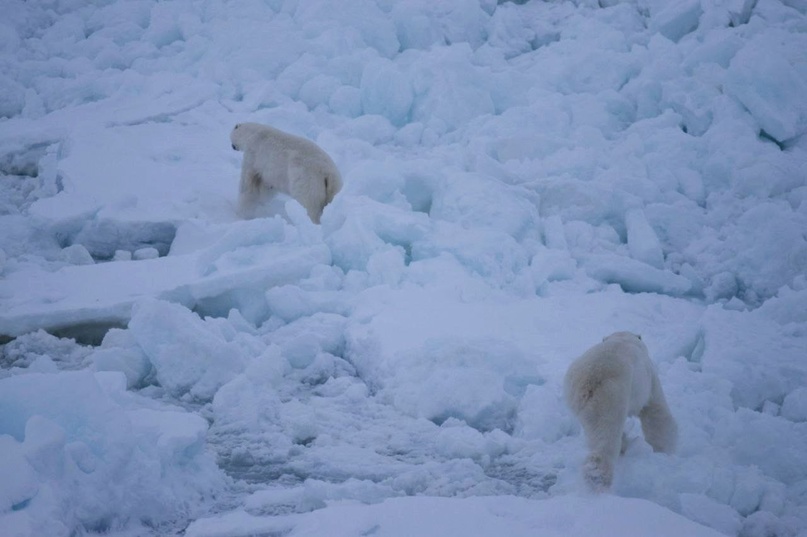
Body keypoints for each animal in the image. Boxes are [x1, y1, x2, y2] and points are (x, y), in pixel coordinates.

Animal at [564, 332, 680, 492]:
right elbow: (656, 413)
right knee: (607, 434)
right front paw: (664, 450)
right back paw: (598, 476)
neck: (623, 338)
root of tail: (590, 380)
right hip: (611, 396)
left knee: (594, 430)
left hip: (577, 397)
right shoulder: (649, 380)